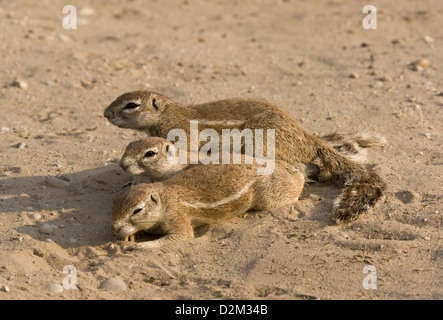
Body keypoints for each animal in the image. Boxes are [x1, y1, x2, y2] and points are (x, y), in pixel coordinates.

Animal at [106, 90, 386, 222]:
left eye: (131, 105)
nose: (105, 113)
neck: (168, 114)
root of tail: (307, 136)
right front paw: (131, 181)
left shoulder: (182, 139)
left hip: (261, 143)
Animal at [111, 159, 306, 248]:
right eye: (113, 206)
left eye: (137, 210)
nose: (114, 228)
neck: (164, 198)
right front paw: (127, 237)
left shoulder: (177, 216)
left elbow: (180, 236)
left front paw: (140, 246)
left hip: (270, 197)